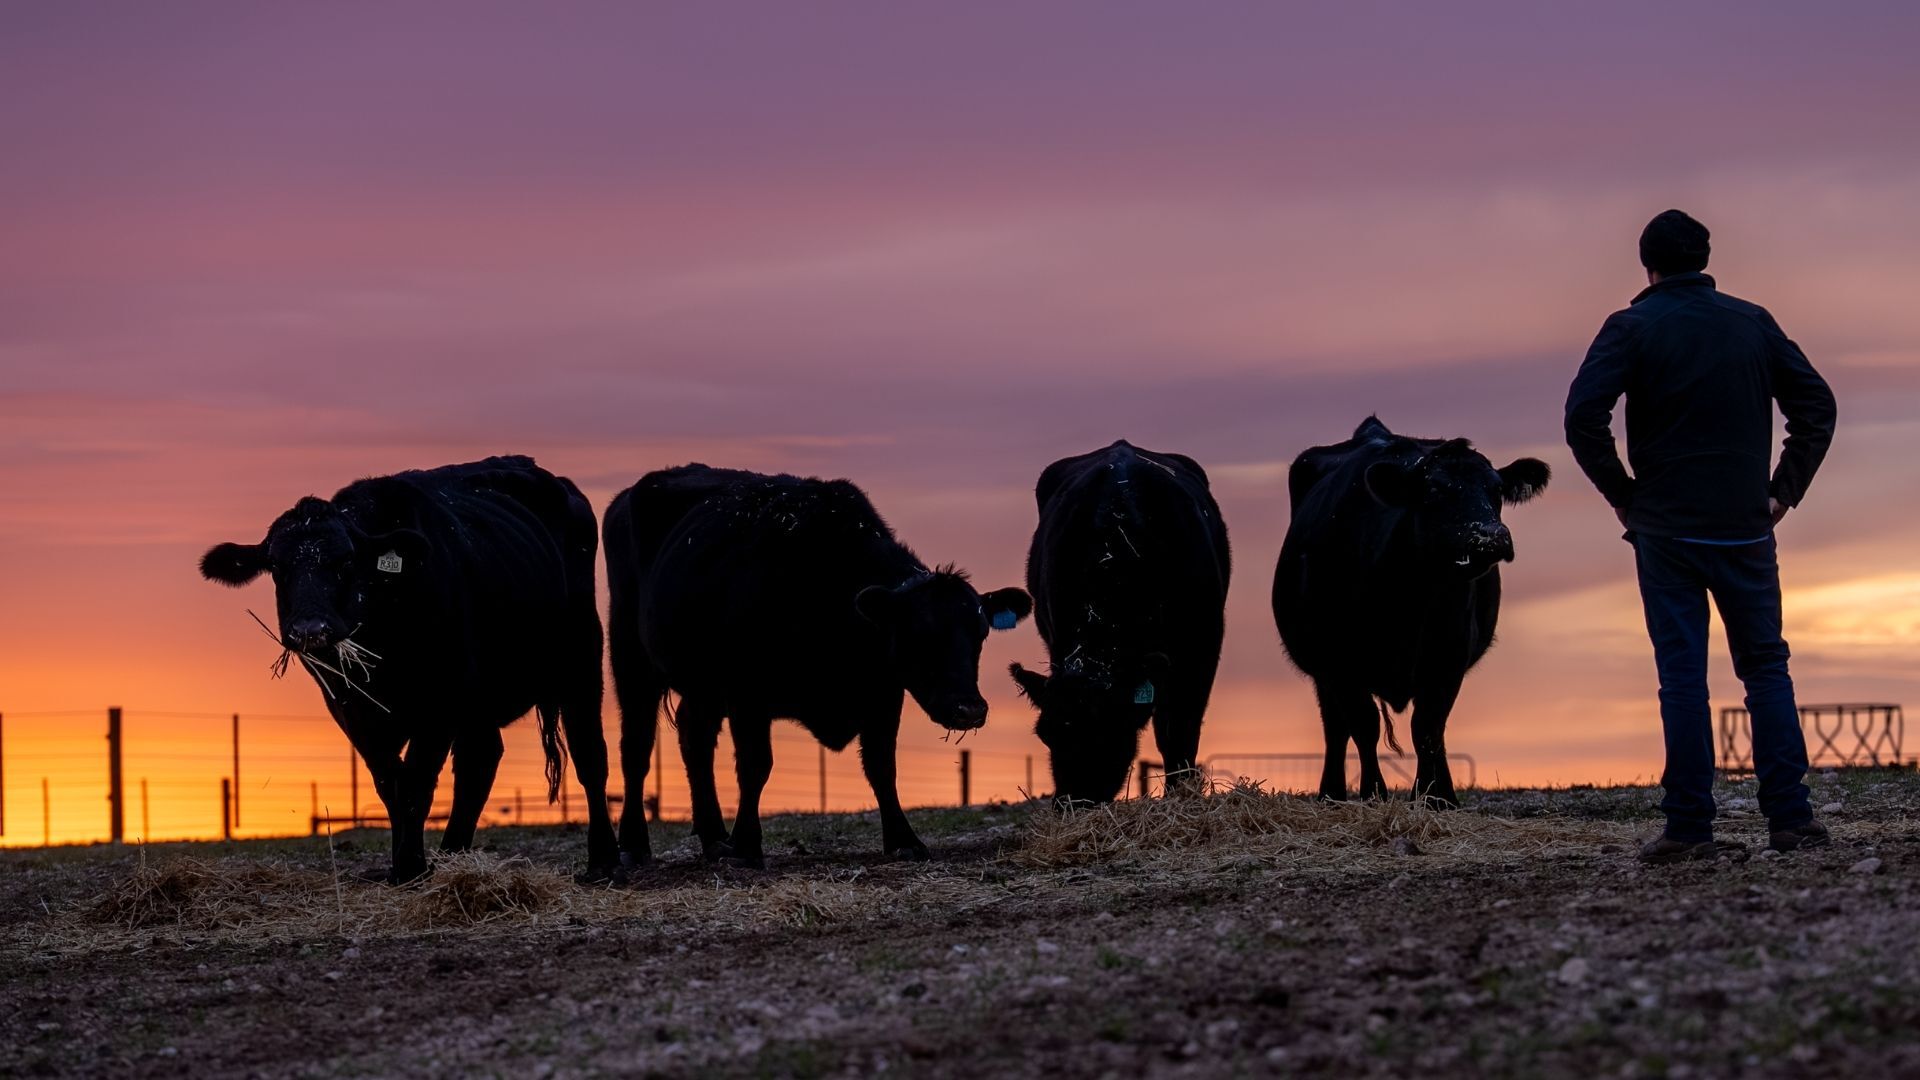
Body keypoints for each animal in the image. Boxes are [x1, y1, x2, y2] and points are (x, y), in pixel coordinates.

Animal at [200, 456, 615, 883]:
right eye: (277, 567)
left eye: (346, 561)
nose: (310, 629)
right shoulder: (352, 708)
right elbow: (390, 782)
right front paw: (403, 865)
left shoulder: (439, 700)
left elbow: (416, 783)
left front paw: (412, 866)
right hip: (479, 700)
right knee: (480, 761)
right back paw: (452, 854)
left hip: (581, 654)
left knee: (589, 754)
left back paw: (603, 860)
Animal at [603, 465, 1031, 869]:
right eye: (918, 634)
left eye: (980, 634)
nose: (969, 708)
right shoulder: (747, 690)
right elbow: (756, 765)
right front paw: (747, 846)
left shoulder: (883, 690)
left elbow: (881, 764)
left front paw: (903, 839)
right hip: (630, 654)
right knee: (636, 748)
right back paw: (634, 845)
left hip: (702, 683)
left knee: (696, 740)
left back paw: (714, 838)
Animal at [1009, 441, 1231, 803]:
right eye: (1046, 735)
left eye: (1104, 733)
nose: (1070, 803)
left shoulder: (1201, 646)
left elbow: (1178, 728)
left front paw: (1179, 794)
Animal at [1273, 417, 1549, 807]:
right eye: (1434, 490)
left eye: (1496, 489)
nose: (1490, 537)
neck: (1411, 597)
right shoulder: (1340, 661)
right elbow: (1364, 725)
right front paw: (1374, 792)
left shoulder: (1449, 656)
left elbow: (1429, 728)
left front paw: (1437, 796)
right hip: (1322, 667)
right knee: (1336, 727)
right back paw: (1332, 793)